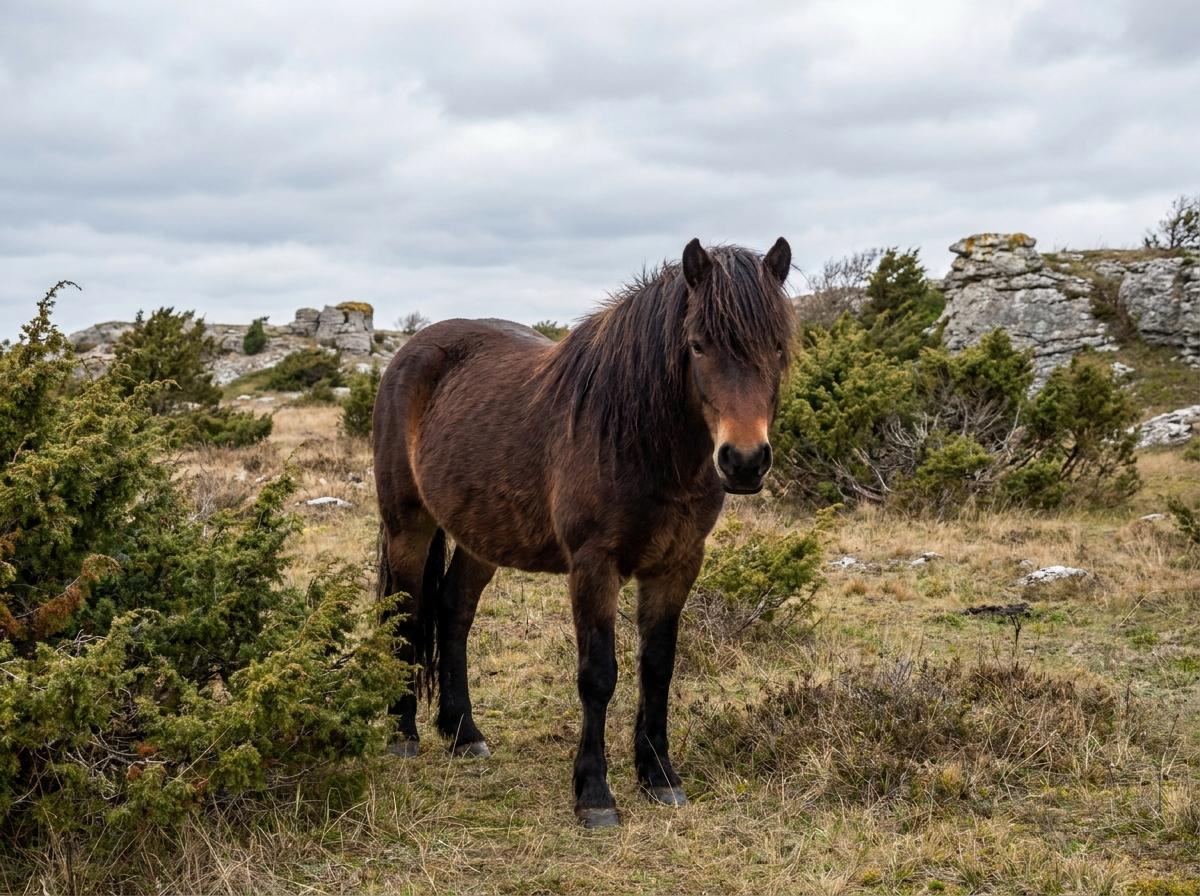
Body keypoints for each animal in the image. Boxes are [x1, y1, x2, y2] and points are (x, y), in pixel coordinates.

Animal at [373, 238, 794, 828]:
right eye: (697, 345)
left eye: (777, 346)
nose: (745, 461)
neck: (642, 443)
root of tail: (408, 354)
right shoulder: (595, 565)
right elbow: (598, 675)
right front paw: (594, 794)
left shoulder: (678, 563)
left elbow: (658, 667)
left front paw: (660, 776)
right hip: (407, 525)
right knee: (406, 615)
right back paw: (403, 733)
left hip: (483, 535)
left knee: (455, 613)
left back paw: (463, 733)